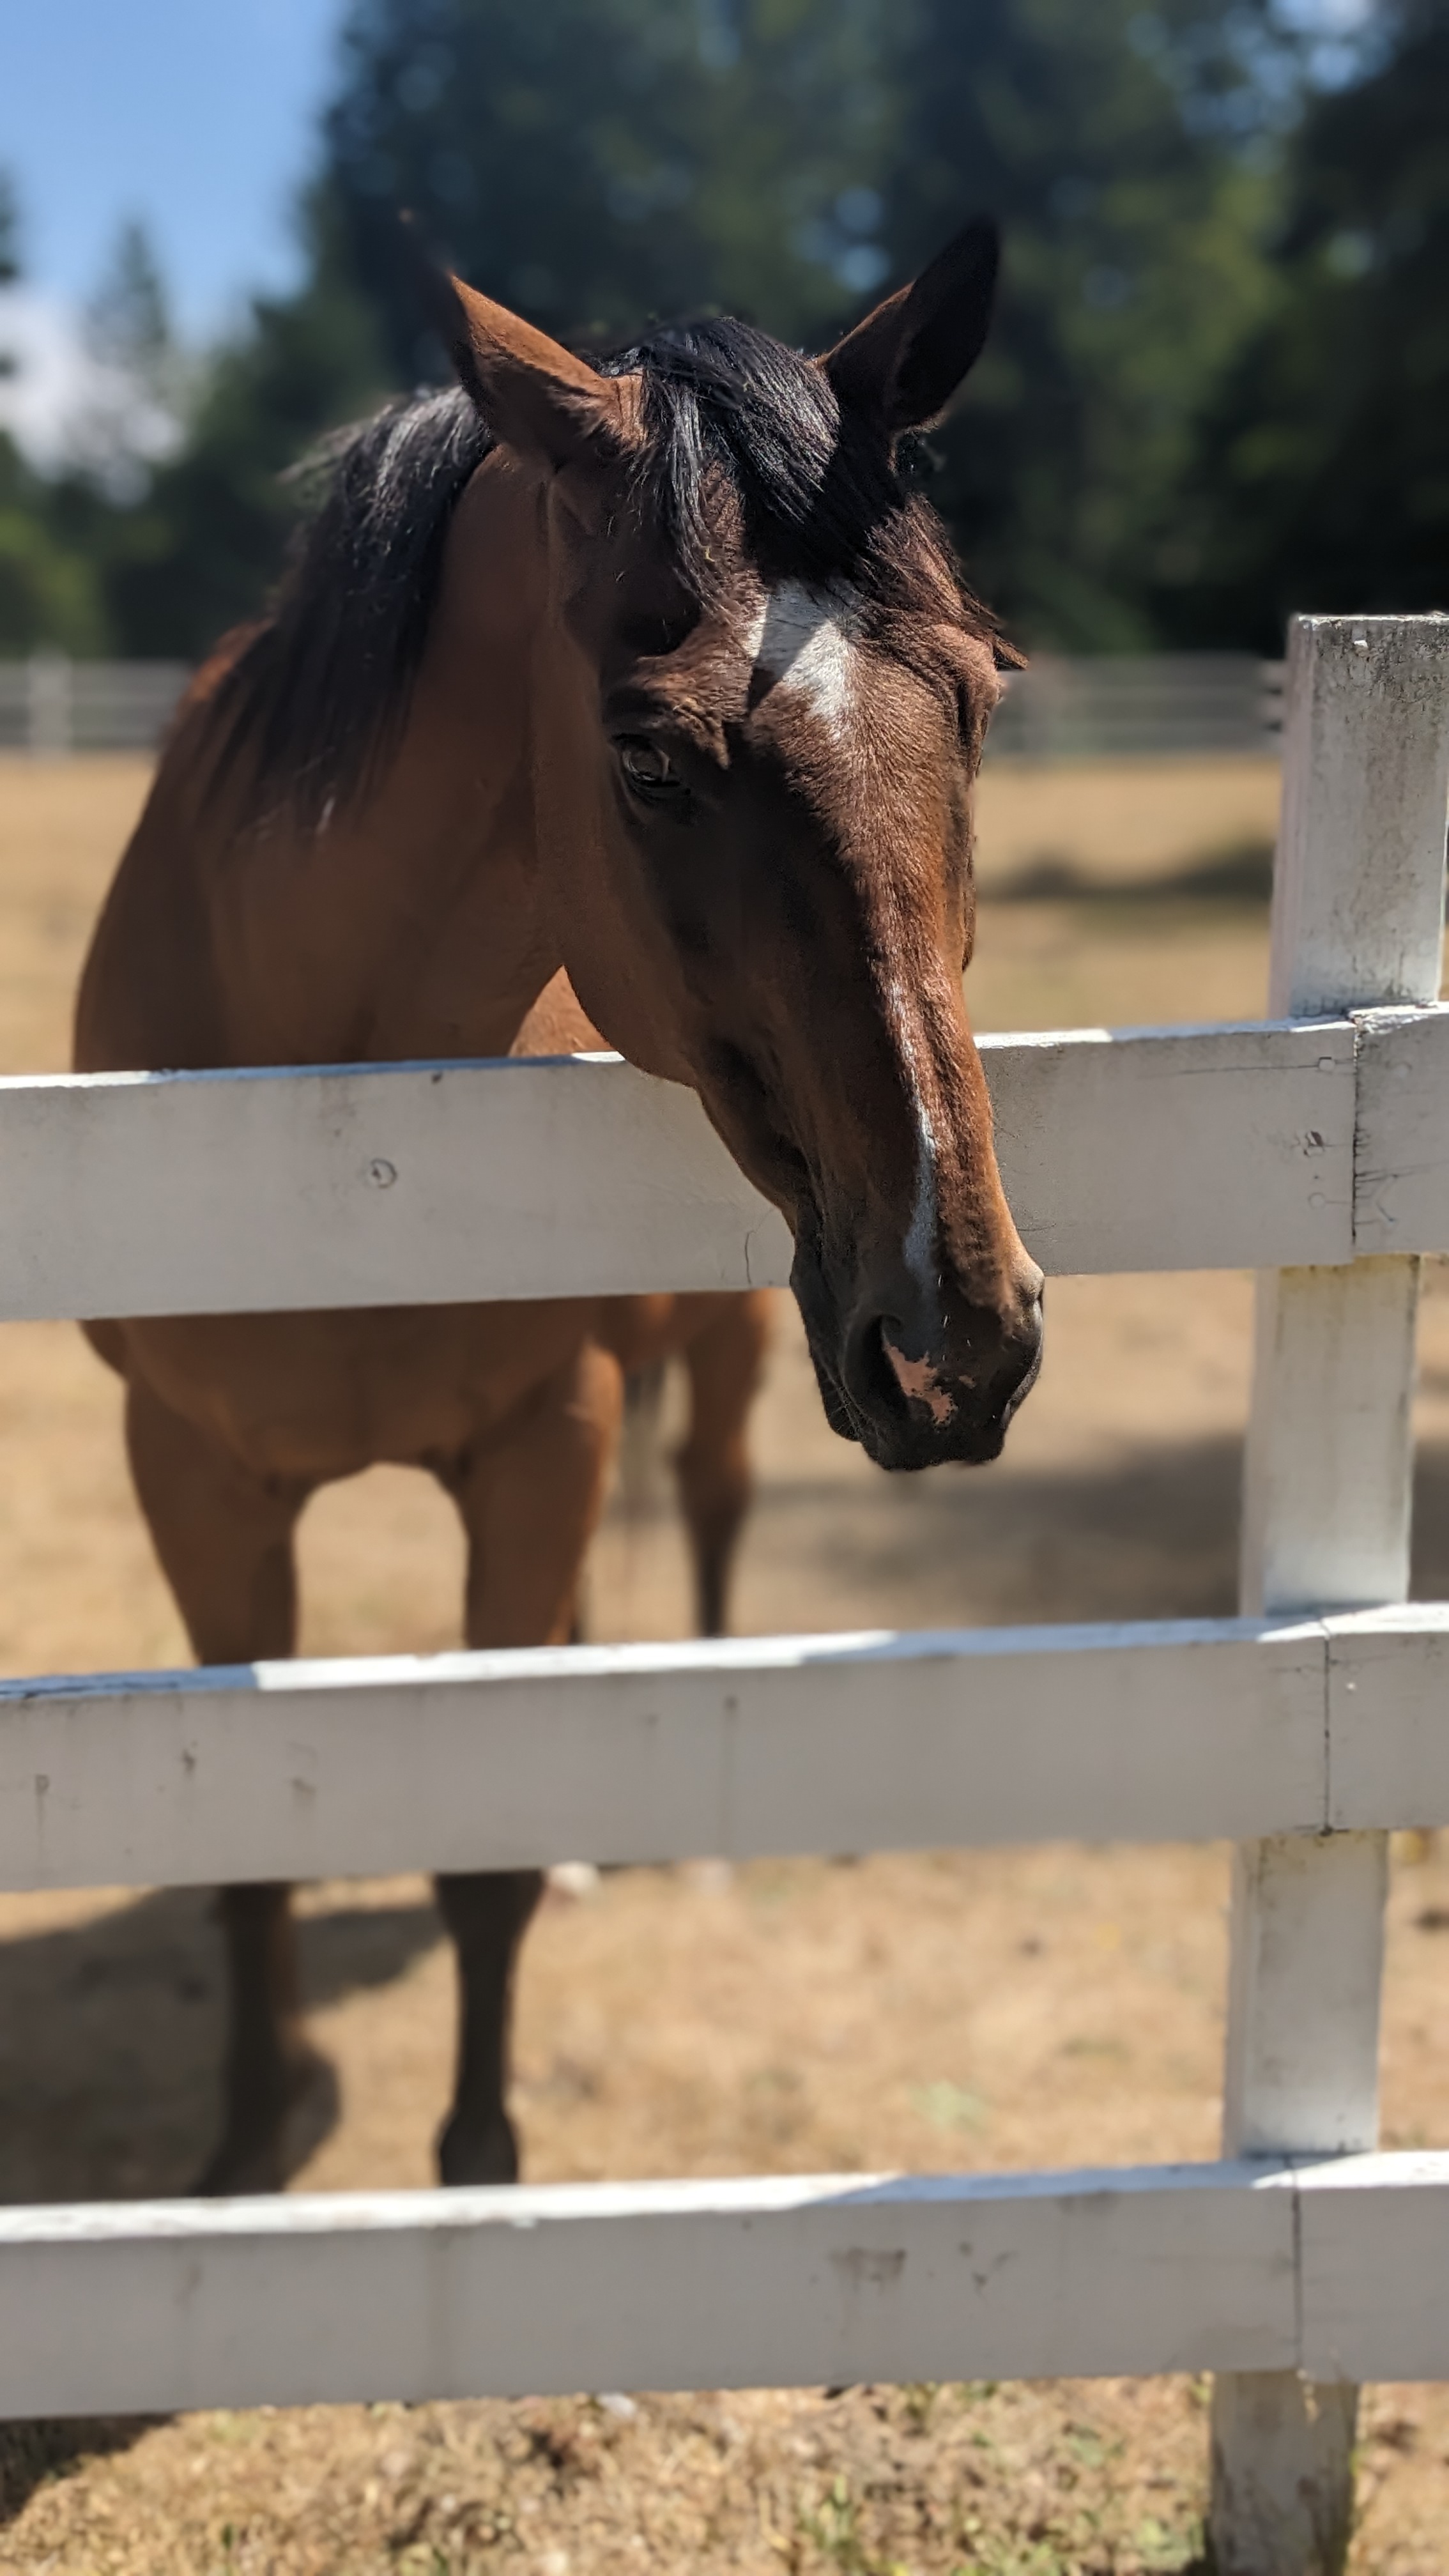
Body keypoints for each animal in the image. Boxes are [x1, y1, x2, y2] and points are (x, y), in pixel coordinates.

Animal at [73, 216, 1036, 2195]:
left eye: (980, 694)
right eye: (651, 758)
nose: (960, 1333)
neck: (334, 1132)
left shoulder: (540, 1441)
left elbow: (489, 1854)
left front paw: (479, 2168)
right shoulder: (194, 1482)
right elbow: (248, 1862)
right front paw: (239, 2156)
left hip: (732, 1355)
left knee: (714, 1522)